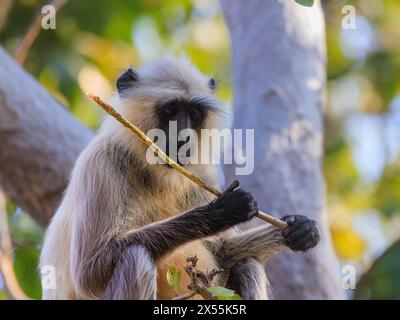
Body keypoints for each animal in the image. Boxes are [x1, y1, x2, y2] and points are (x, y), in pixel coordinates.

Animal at [39, 55, 320, 300]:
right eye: (170, 111)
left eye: (194, 114)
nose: (184, 137)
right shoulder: (100, 161)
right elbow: (88, 272)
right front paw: (221, 212)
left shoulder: (203, 175)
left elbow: (222, 252)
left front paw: (299, 228)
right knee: (135, 258)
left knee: (246, 265)